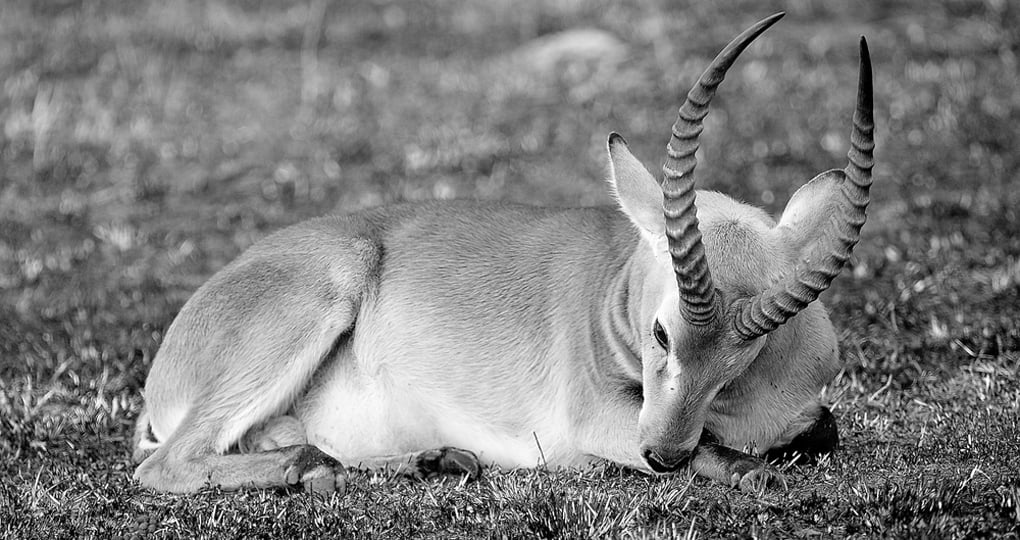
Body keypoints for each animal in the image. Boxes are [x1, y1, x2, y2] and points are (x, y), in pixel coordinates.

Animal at [133, 13, 875, 494]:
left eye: (742, 355)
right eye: (663, 333)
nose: (663, 452)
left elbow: (822, 428)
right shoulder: (597, 418)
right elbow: (725, 455)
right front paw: (747, 469)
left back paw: (431, 461)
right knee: (162, 465)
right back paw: (316, 468)